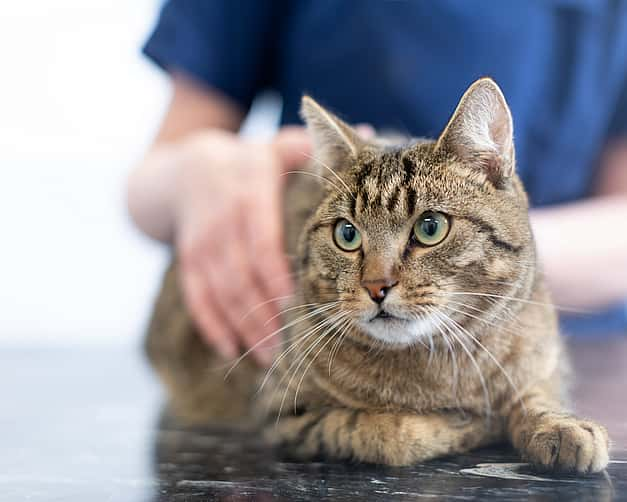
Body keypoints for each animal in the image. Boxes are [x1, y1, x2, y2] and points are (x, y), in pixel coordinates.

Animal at [146, 78, 608, 474]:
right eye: (347, 234)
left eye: (430, 228)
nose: (376, 287)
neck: (438, 369)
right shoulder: (285, 412)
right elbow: (389, 433)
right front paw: (464, 424)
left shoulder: (546, 363)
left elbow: (535, 394)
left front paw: (562, 426)